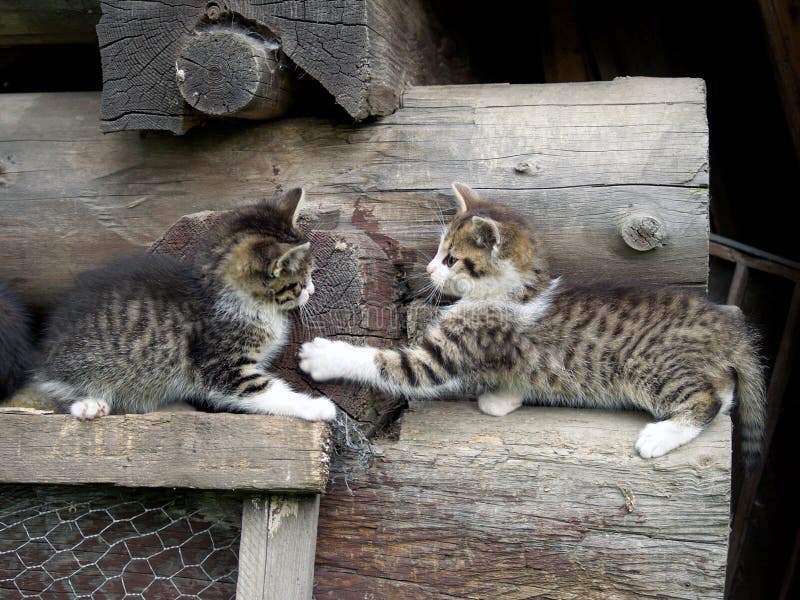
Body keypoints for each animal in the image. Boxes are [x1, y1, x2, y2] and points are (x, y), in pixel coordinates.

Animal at [302, 185, 768, 466]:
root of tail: (727, 328)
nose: (430, 269)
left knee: (708, 400)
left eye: (451, 258)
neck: (511, 293)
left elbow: (392, 365)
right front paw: (503, 398)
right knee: (724, 392)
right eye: (438, 252)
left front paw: (326, 355)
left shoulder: (455, 349)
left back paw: (661, 435)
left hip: (652, 368)